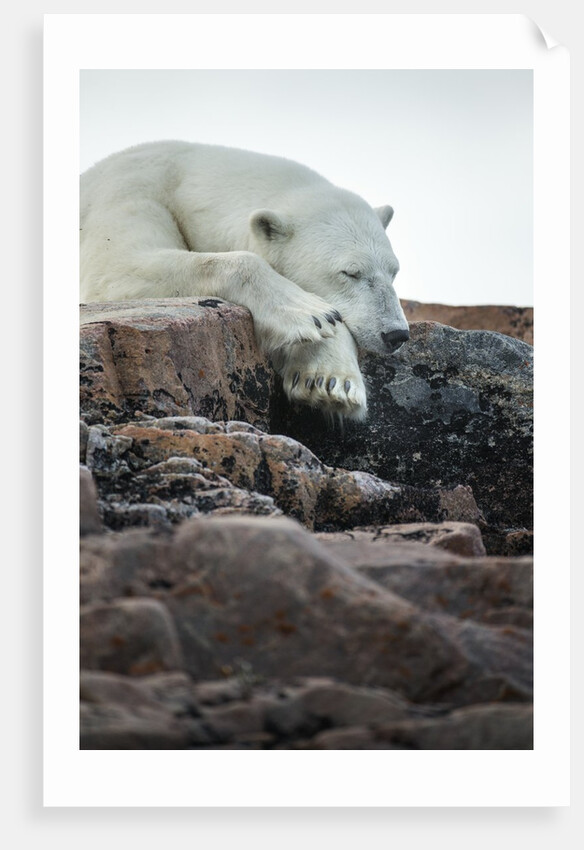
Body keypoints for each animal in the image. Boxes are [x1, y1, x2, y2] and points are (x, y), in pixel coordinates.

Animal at [80, 140, 409, 420]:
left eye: (394, 271)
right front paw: (309, 311)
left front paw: (330, 381)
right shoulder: (131, 189)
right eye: (350, 272)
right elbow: (116, 267)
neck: (186, 178)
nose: (396, 334)